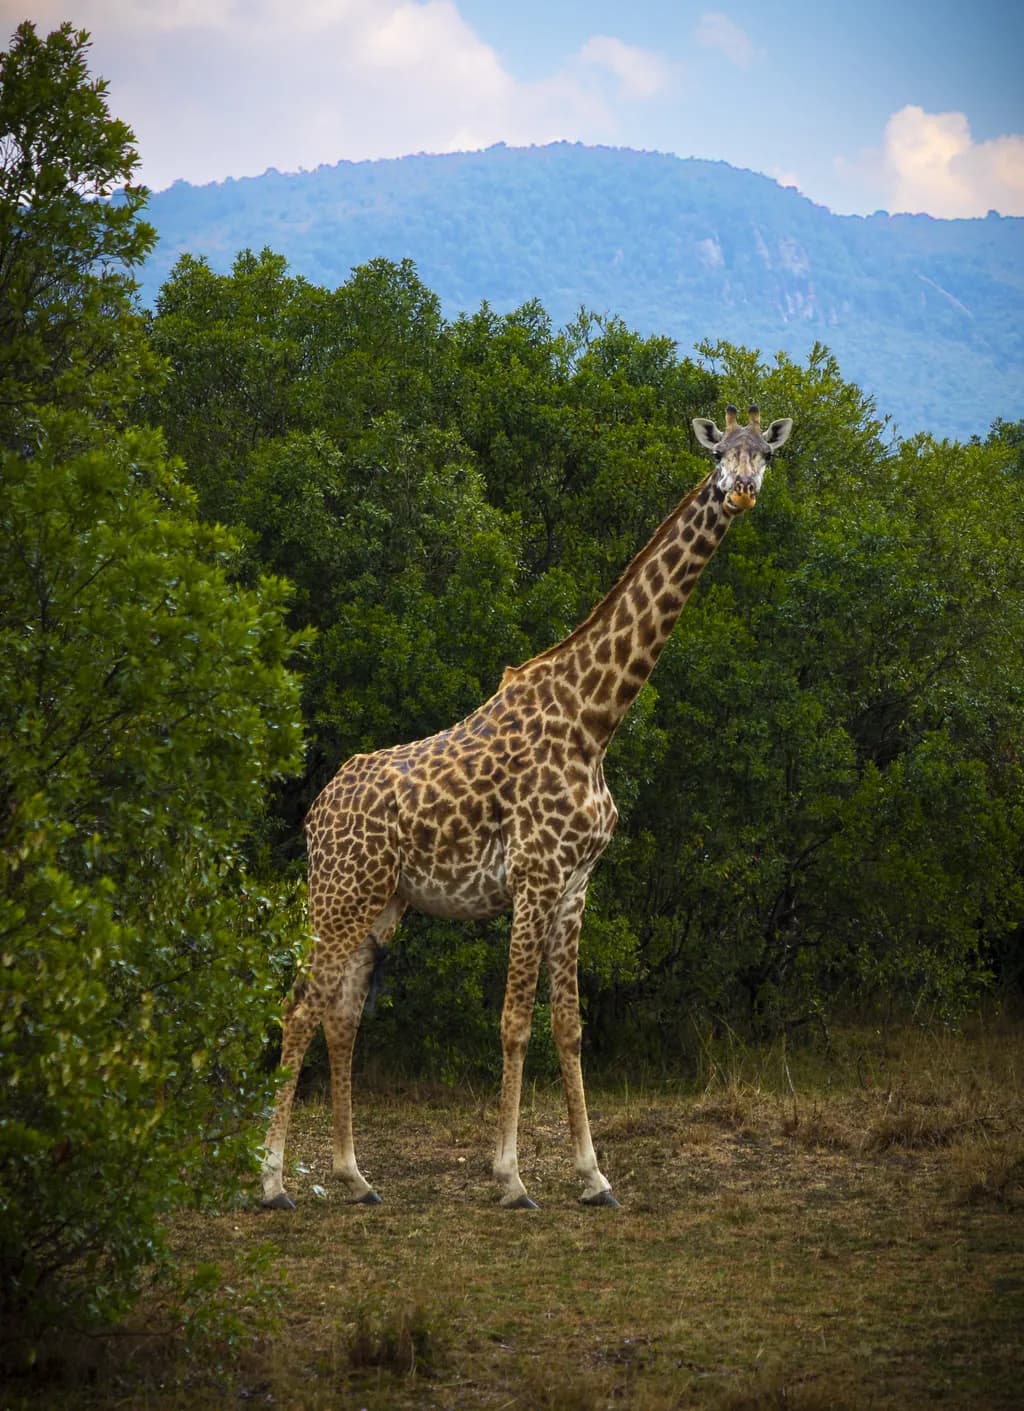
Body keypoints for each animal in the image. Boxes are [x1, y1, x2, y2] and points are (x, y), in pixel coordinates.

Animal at [261, 403, 793, 1211]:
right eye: (716, 456)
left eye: (763, 454)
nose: (739, 492)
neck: (596, 719)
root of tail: (317, 811)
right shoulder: (535, 877)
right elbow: (514, 1022)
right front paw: (511, 1178)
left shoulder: (576, 884)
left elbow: (569, 1026)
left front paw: (594, 1176)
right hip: (338, 893)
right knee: (299, 1007)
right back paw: (269, 1182)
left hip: (383, 903)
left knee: (340, 1014)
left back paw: (355, 1177)